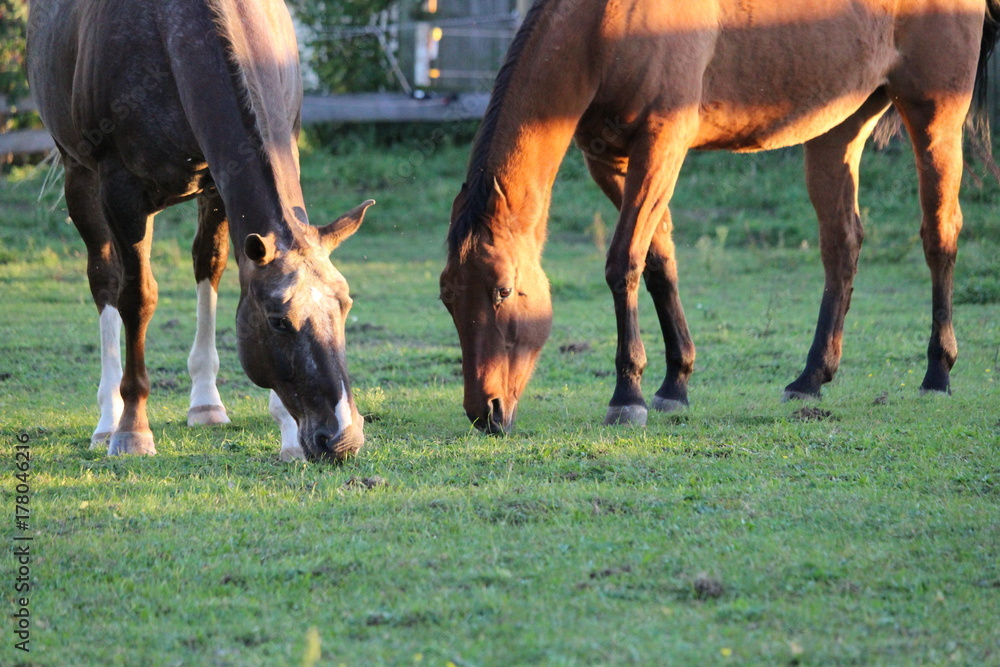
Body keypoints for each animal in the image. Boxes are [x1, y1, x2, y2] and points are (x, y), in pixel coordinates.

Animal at [27, 0, 373, 461]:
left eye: (345, 306)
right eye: (279, 321)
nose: (343, 438)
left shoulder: (221, 183)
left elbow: (218, 269)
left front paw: (283, 430)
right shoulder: (121, 191)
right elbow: (137, 298)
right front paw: (132, 430)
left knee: (205, 264)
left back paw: (206, 402)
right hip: (78, 177)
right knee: (104, 281)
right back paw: (107, 420)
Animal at [440, 0, 1000, 433]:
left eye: (503, 291)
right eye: (448, 298)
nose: (484, 411)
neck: (608, 24)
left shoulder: (660, 147)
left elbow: (624, 263)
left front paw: (628, 396)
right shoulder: (611, 160)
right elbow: (658, 262)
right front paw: (675, 383)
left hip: (934, 117)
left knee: (939, 237)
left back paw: (937, 375)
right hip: (838, 128)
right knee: (842, 245)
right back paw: (810, 378)